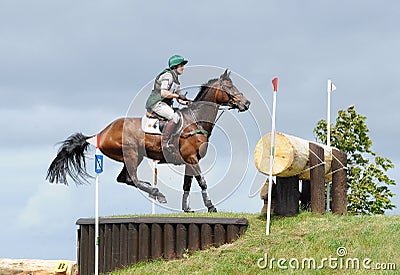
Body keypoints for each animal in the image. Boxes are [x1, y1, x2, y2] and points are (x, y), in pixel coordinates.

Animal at [47, 69, 250, 213]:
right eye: (229, 88)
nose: (246, 103)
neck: (195, 120)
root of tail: (101, 133)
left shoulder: (190, 160)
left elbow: (187, 184)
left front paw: (187, 208)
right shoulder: (191, 158)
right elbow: (202, 182)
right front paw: (211, 206)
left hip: (132, 157)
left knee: (125, 179)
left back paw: (156, 192)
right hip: (132, 154)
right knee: (132, 179)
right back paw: (158, 193)